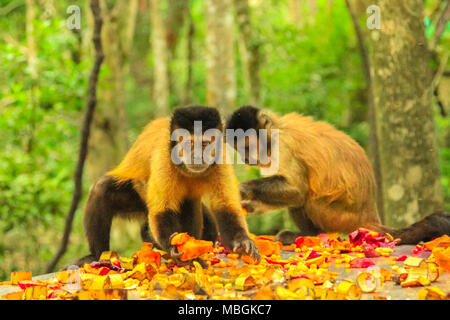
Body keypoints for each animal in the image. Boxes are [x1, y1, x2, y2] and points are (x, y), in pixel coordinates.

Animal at [75, 106, 260, 266]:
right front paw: (173, 247)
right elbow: (161, 210)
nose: (197, 156)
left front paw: (242, 242)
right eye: (189, 145)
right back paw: (98, 256)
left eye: (205, 144)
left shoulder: (220, 158)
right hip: (139, 198)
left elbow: (226, 206)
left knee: (189, 203)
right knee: (102, 189)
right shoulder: (164, 156)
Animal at [227, 105, 450, 245]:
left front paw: (242, 189)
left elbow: (297, 190)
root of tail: (368, 216)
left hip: (338, 217)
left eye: (247, 147)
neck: (277, 130)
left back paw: (311, 235)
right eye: (241, 149)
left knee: (305, 198)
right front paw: (248, 205)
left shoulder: (284, 145)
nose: (247, 158)